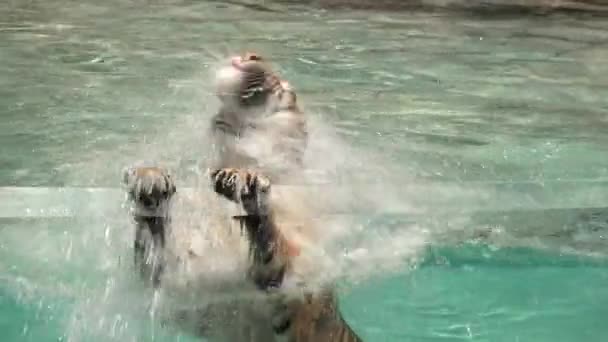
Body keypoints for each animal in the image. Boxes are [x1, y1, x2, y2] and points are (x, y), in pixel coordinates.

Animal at [121, 51, 364, 342]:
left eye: (284, 88)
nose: (251, 54)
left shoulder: (290, 284)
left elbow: (271, 245)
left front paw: (245, 182)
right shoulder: (176, 280)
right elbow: (152, 252)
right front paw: (150, 180)